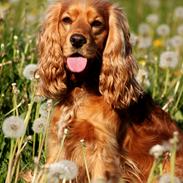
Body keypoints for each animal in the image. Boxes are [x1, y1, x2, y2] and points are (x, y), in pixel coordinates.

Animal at [37, 0, 183, 182]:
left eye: (97, 23)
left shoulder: (104, 150)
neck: (82, 88)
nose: (77, 40)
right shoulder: (59, 142)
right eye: (66, 20)